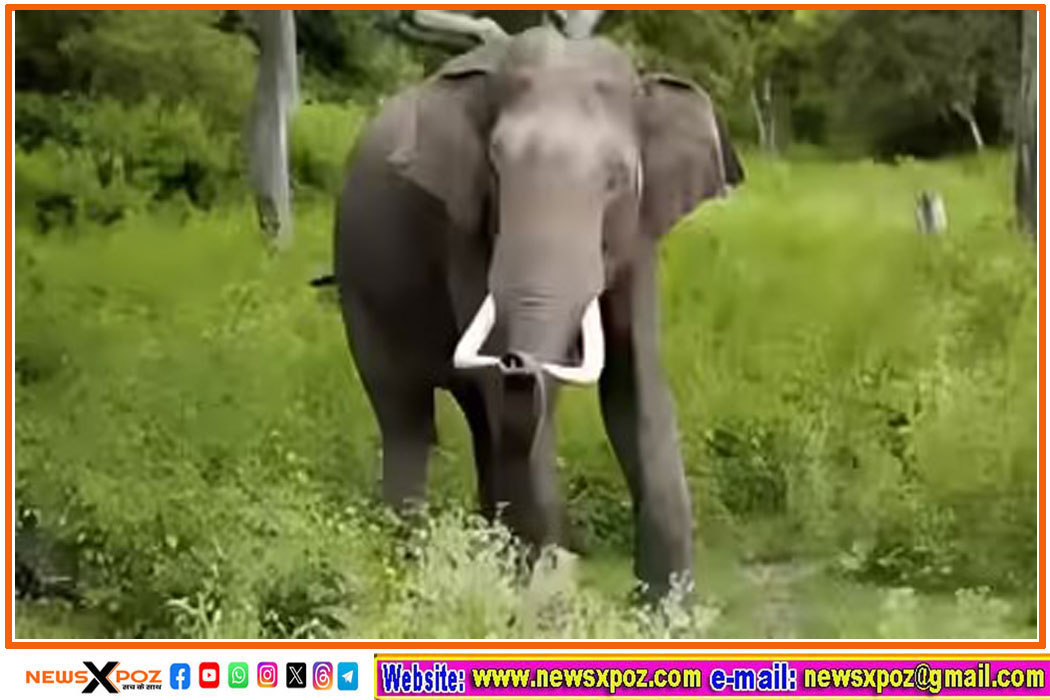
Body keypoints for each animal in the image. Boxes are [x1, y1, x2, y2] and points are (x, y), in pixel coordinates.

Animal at [332, 27, 743, 598]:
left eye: (618, 179)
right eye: (496, 168)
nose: (517, 361)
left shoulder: (640, 239)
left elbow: (637, 386)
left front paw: (667, 612)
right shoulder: (464, 228)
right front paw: (542, 600)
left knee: (478, 426)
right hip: (359, 292)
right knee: (407, 418)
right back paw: (405, 570)